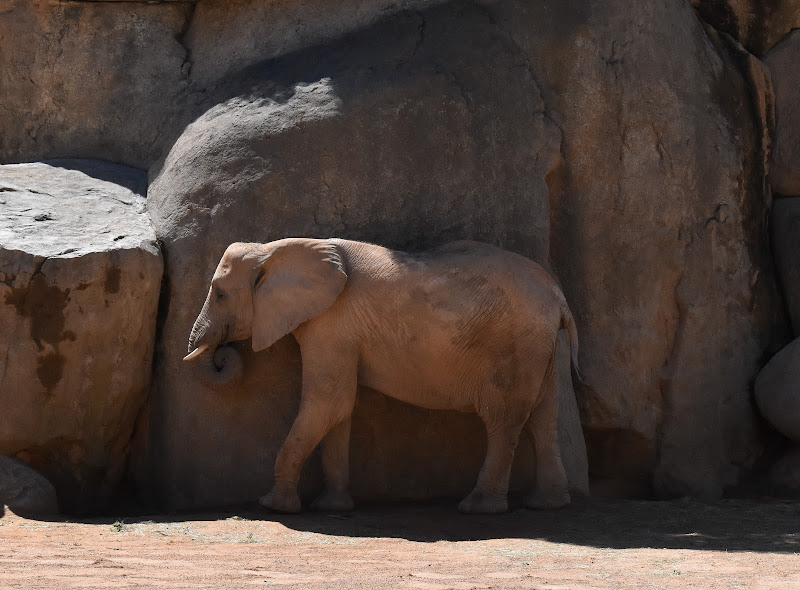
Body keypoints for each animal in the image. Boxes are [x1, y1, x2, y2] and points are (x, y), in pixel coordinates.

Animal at [184, 238, 580, 516]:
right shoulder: (335, 329)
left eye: (219, 294)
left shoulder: (331, 323)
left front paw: (273, 505)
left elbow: (328, 404)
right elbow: (339, 410)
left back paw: (478, 507)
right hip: (541, 345)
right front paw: (332, 507)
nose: (223, 354)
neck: (273, 250)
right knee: (544, 417)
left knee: (503, 420)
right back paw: (547, 504)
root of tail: (558, 296)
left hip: (515, 344)